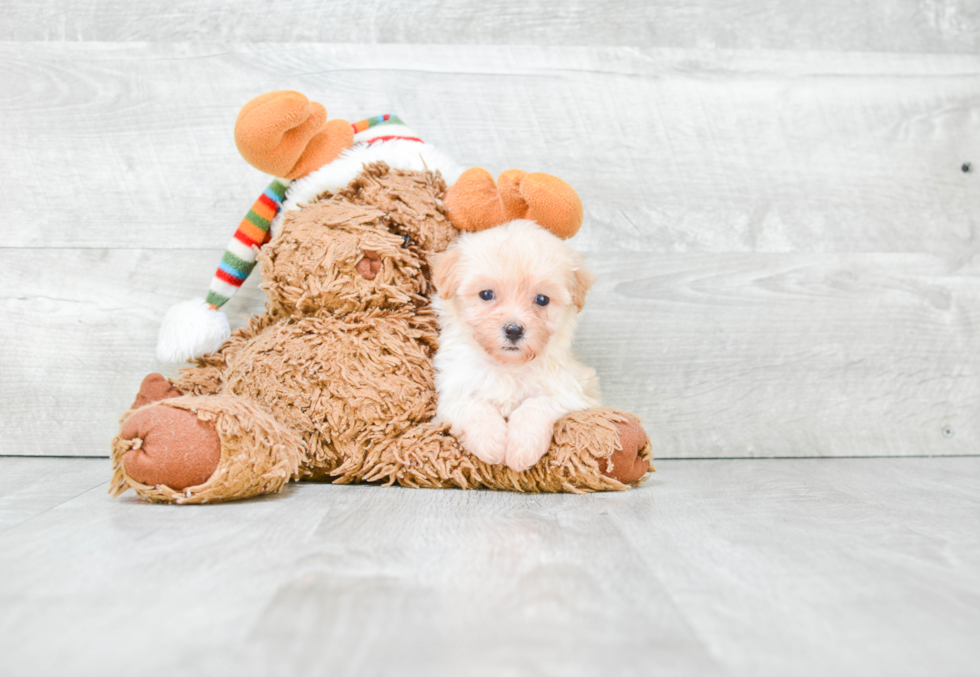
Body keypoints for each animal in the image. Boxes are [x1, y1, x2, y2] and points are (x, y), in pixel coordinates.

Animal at [432, 220, 600, 470]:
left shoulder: (570, 393)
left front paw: (522, 450)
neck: (507, 365)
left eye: (542, 299)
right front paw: (491, 444)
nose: (513, 330)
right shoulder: (453, 394)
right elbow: (474, 408)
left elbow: (536, 405)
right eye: (486, 294)